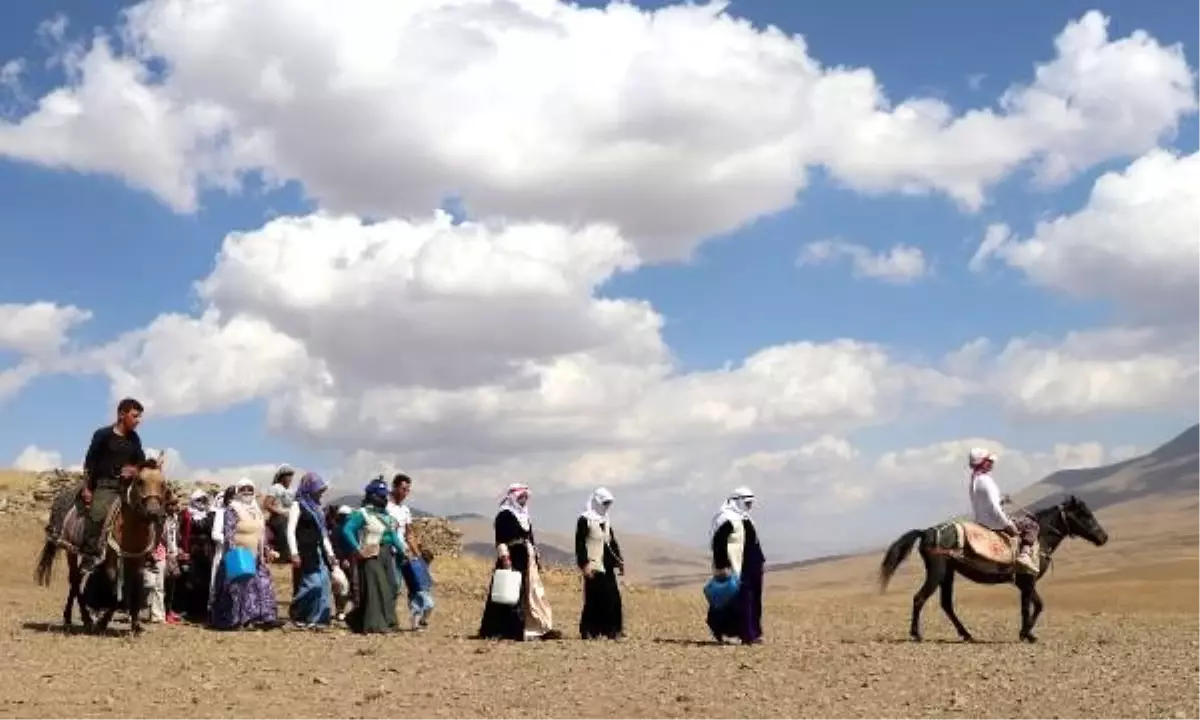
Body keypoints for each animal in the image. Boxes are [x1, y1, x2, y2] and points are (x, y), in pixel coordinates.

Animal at [34, 463, 168, 633]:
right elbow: (115, 592)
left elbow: (133, 589)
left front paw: (135, 625)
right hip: (70, 550)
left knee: (79, 577)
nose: (154, 513)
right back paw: (84, 618)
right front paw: (103, 622)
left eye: (163, 484)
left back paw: (72, 617)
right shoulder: (112, 561)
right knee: (75, 580)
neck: (130, 528)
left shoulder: (137, 561)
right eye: (140, 481)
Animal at [878, 496, 1108, 643]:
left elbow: (1031, 606)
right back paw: (916, 634)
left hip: (948, 574)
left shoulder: (1024, 583)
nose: (1104, 537)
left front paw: (1026, 633)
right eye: (1085, 514)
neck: (1041, 537)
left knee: (946, 604)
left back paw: (967, 634)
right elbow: (1033, 606)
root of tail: (926, 532)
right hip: (937, 572)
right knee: (919, 598)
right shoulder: (1027, 581)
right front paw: (1026, 634)